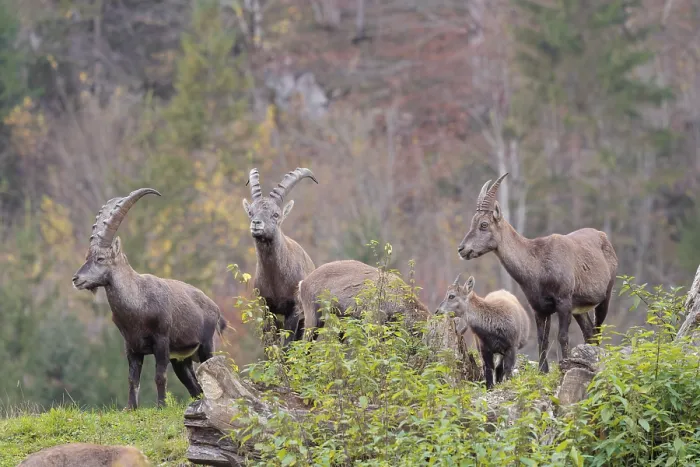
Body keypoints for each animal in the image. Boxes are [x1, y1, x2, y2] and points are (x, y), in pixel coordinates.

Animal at [72, 188, 227, 409]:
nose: (76, 279)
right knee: (194, 387)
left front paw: (161, 406)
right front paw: (130, 408)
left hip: (206, 346)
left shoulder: (161, 342)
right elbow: (132, 378)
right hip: (181, 360)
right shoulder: (131, 346)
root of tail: (215, 307)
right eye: (87, 257)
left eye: (100, 258)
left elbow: (159, 376)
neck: (137, 303)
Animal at [243, 167, 317, 345]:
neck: (275, 279)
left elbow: (287, 345)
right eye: (251, 212)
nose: (256, 223)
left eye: (276, 214)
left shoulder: (294, 310)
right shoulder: (266, 309)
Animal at [457, 173, 618, 372]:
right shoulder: (539, 308)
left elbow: (562, 336)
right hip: (579, 309)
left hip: (605, 296)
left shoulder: (563, 302)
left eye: (484, 224)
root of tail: (603, 236)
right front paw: (543, 370)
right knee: (589, 332)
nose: (462, 249)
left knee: (597, 330)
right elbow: (543, 339)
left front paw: (565, 365)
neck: (538, 264)